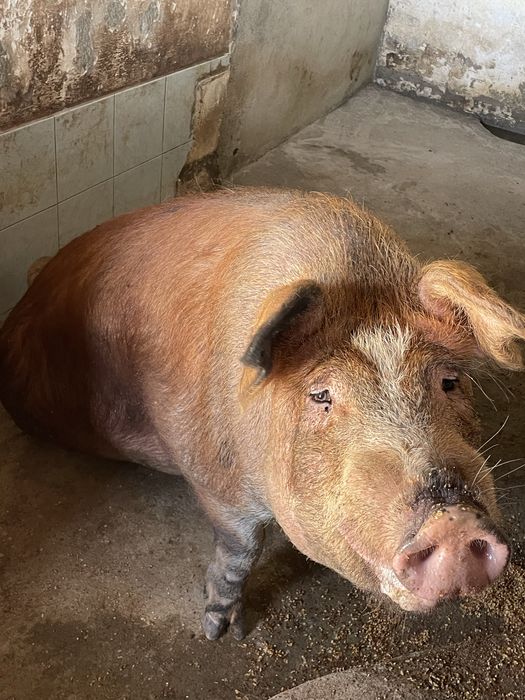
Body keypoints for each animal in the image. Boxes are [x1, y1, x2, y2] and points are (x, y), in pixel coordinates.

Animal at [0, 188, 522, 640]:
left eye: (449, 382)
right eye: (321, 395)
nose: (454, 522)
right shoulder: (216, 479)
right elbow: (240, 551)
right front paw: (222, 632)